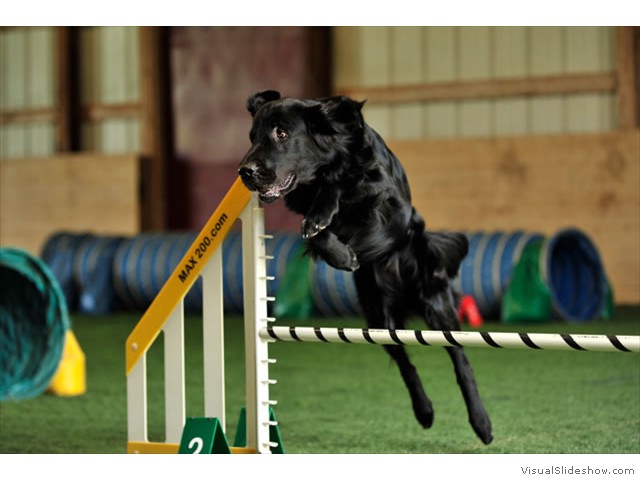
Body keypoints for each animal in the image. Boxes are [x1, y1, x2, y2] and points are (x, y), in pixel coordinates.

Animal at [238, 89, 492, 442]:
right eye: (252, 136)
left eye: (282, 133)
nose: (244, 172)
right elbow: (315, 233)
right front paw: (342, 253)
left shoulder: (390, 206)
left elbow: (340, 187)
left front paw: (328, 210)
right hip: (376, 317)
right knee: (405, 362)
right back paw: (424, 411)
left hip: (436, 305)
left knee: (459, 358)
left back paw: (481, 423)